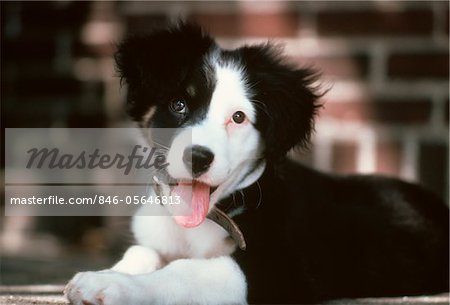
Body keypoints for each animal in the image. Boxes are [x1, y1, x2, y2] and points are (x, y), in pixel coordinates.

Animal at [65, 22, 448, 304]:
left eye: (238, 117)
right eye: (178, 105)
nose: (197, 157)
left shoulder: (274, 271)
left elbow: (183, 271)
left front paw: (110, 286)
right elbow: (141, 251)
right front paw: (108, 274)